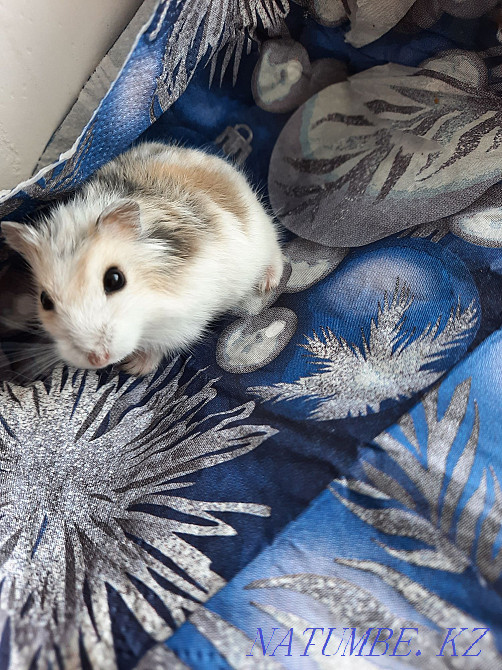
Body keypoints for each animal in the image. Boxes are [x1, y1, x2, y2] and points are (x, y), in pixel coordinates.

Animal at [1, 142, 284, 376]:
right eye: (44, 301)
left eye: (115, 279)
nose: (98, 359)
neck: (149, 311)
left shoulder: (184, 322)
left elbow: (160, 347)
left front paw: (132, 368)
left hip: (261, 232)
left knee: (276, 250)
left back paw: (267, 283)